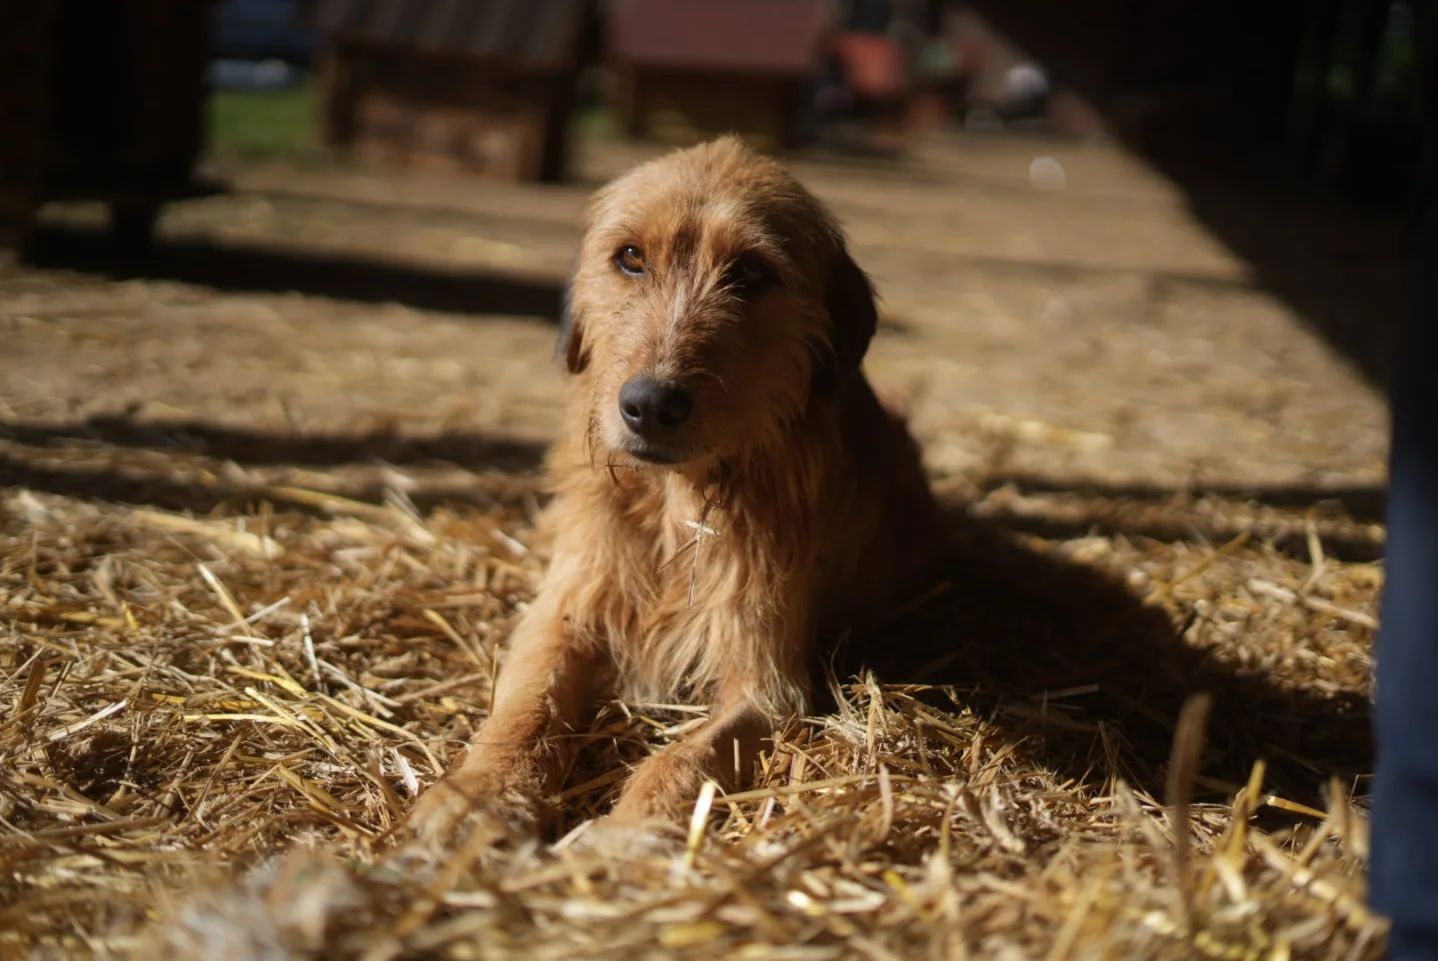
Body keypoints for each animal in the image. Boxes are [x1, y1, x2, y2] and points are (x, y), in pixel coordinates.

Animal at [411, 135, 937, 840]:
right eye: (631, 258)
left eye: (751, 274)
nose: (651, 405)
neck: (676, 505)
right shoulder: (565, 614)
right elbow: (527, 706)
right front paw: (482, 790)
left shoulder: (768, 683)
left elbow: (684, 758)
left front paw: (624, 834)